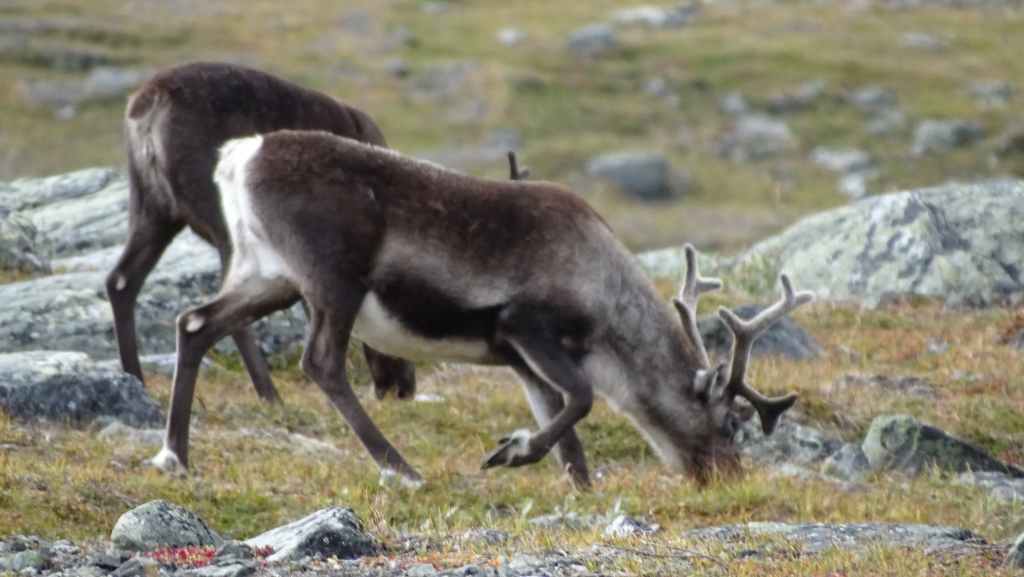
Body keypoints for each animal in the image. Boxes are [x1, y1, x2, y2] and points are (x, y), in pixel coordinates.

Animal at [108, 62, 416, 403]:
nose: (403, 389)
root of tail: (149, 106)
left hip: (153, 206)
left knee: (121, 281)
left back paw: (134, 377)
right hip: (222, 222)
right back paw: (269, 394)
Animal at [149, 129, 813, 490]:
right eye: (729, 424)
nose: (727, 479)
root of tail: (238, 155)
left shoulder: (519, 360)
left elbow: (566, 430)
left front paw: (580, 489)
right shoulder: (526, 326)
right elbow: (582, 400)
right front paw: (512, 453)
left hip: (269, 274)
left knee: (195, 323)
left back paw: (174, 455)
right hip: (332, 278)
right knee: (322, 363)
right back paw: (400, 467)